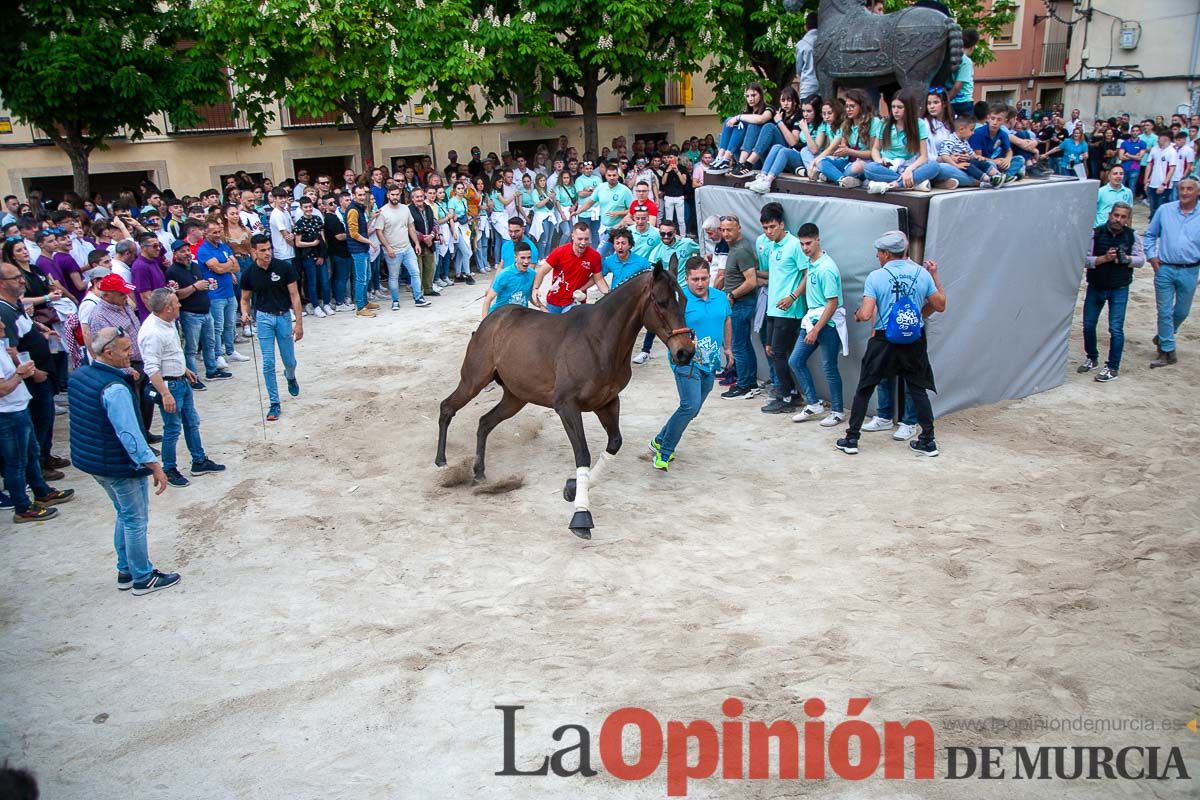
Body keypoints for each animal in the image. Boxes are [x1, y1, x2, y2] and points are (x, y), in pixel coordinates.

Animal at [434, 262, 696, 537]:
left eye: (684, 299)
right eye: (662, 302)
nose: (685, 352)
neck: (599, 341)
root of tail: (492, 319)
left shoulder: (608, 402)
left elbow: (614, 443)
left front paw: (572, 488)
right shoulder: (567, 406)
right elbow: (582, 453)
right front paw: (581, 516)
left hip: (515, 397)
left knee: (485, 422)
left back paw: (479, 472)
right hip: (474, 380)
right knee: (447, 407)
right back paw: (442, 463)